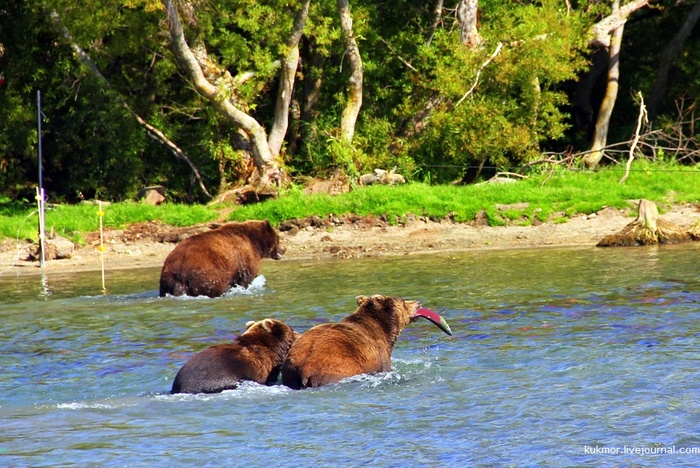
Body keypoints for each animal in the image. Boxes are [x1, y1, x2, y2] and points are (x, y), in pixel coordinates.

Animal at [280, 294, 452, 390]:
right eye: (403, 301)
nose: (418, 302)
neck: (385, 330)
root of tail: (303, 372)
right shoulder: (380, 355)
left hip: (290, 374)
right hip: (333, 371)